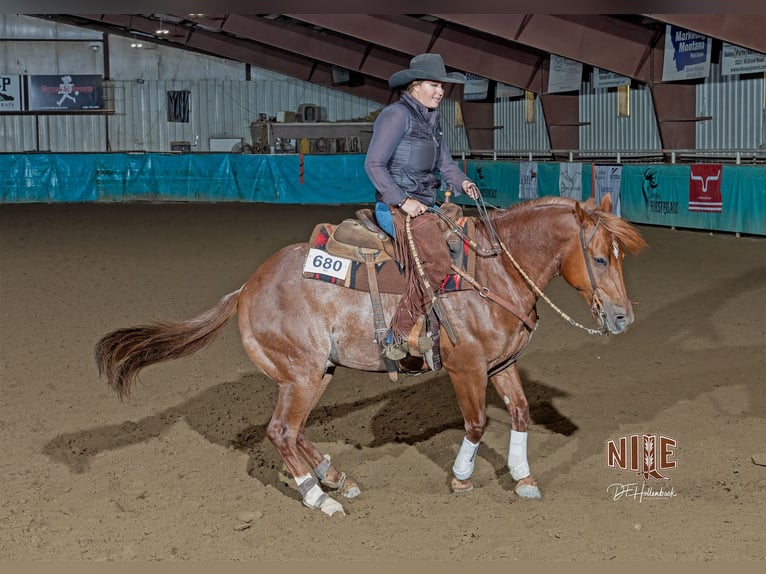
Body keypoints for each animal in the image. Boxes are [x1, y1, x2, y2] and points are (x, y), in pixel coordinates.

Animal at [94, 192, 646, 517]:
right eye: (600, 258)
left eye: (619, 257)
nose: (623, 319)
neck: (493, 274)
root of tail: (247, 288)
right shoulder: (466, 368)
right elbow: (474, 425)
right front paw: (461, 479)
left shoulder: (502, 365)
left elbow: (520, 413)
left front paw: (523, 477)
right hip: (302, 374)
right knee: (281, 431)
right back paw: (318, 498)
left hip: (317, 373)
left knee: (295, 430)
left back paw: (335, 478)